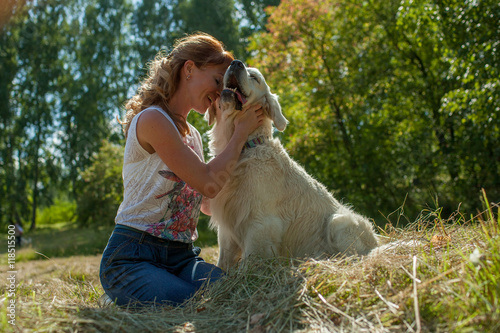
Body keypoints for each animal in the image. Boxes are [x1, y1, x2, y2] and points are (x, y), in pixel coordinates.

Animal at [205, 59, 376, 268]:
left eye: (255, 77)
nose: (236, 63)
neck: (243, 148)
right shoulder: (227, 226)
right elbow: (223, 261)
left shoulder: (261, 223)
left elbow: (250, 261)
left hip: (339, 222)